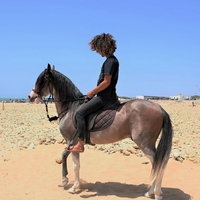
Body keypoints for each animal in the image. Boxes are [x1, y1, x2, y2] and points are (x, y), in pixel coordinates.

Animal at [28, 63, 173, 199]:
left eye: (43, 79)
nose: (30, 96)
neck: (70, 107)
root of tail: (159, 108)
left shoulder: (72, 141)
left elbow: (74, 164)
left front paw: (72, 186)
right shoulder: (72, 143)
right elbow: (67, 157)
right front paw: (69, 181)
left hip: (144, 143)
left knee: (158, 163)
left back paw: (156, 193)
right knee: (157, 164)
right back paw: (150, 192)